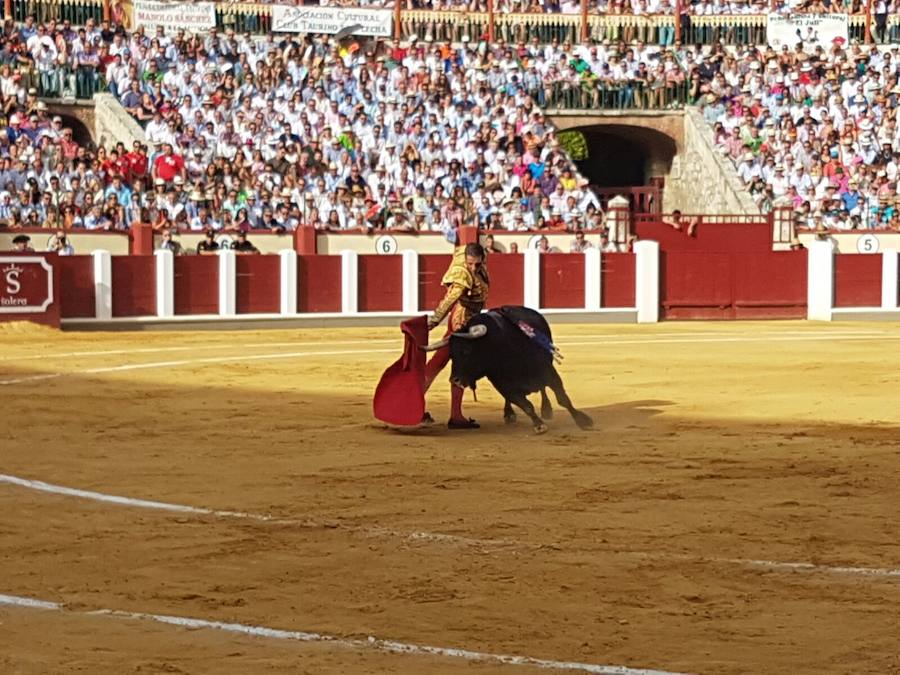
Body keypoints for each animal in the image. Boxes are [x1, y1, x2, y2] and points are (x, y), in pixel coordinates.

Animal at [426, 306, 596, 434]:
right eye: (451, 355)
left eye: (466, 350)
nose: (454, 380)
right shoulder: (504, 386)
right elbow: (525, 405)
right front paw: (539, 425)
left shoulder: (548, 372)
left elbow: (563, 398)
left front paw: (583, 421)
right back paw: (509, 414)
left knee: (543, 390)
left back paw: (546, 409)